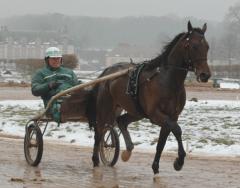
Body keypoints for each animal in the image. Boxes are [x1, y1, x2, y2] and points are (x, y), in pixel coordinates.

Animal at [90, 21, 210, 175]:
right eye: (194, 46)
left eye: (207, 47)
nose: (205, 74)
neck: (168, 81)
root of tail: (107, 71)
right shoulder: (156, 114)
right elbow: (177, 129)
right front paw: (179, 161)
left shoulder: (172, 115)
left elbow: (161, 143)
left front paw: (156, 167)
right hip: (105, 106)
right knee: (99, 131)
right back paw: (95, 160)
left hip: (136, 111)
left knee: (121, 120)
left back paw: (127, 151)